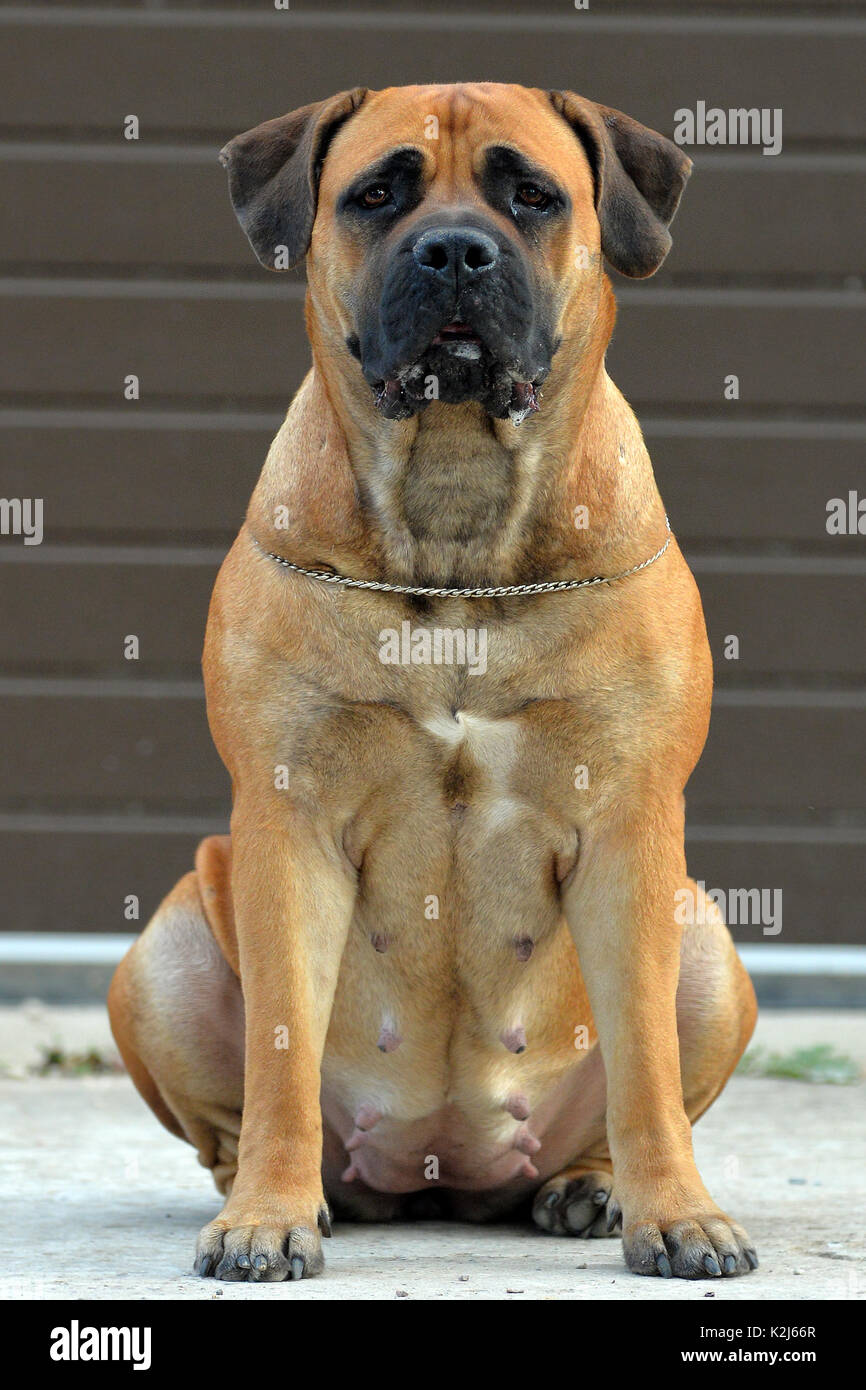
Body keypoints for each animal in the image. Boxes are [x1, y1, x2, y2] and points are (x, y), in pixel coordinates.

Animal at [108, 84, 756, 1278]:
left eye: (532, 194)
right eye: (377, 194)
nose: (454, 250)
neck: (456, 518)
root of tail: (442, 1167)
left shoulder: (632, 826)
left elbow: (643, 1064)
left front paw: (678, 1215)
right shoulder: (287, 823)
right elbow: (278, 1051)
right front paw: (267, 1215)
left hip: (705, 942)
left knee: (623, 1097)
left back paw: (592, 1187)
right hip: (166, 949)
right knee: (234, 1121)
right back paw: (295, 1191)